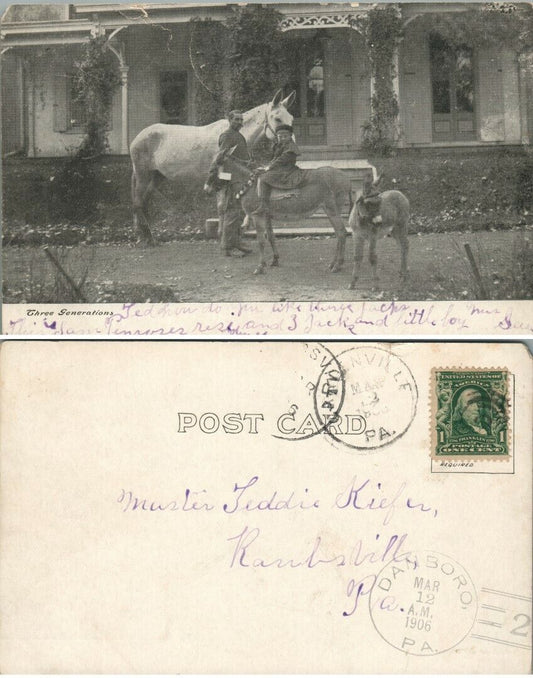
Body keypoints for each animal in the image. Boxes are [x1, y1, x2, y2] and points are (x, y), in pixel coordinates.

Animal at [129, 87, 296, 242]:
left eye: (292, 118)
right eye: (277, 119)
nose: (290, 145)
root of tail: (138, 137)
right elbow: (222, 206)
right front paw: (222, 234)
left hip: (157, 176)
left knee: (144, 202)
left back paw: (146, 235)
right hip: (143, 175)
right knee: (137, 202)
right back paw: (146, 238)